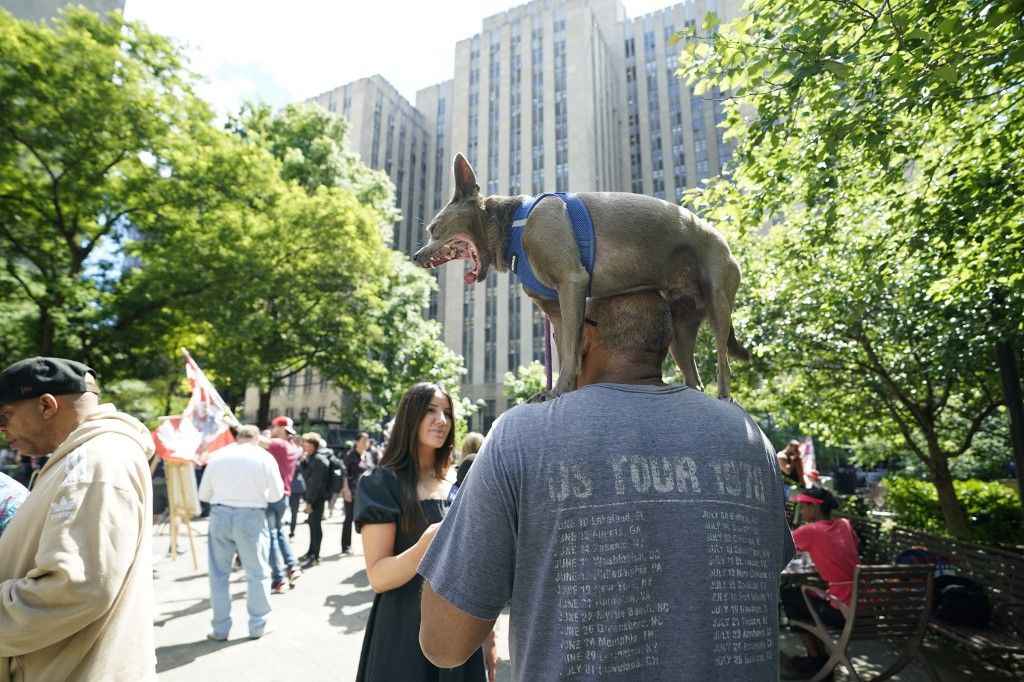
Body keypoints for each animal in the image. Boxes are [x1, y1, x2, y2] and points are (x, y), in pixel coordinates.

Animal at [411, 153, 749, 399]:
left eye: (433, 228)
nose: (415, 256)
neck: (514, 226)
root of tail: (726, 246)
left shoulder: (571, 284)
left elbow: (571, 354)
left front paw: (558, 392)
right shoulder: (556, 311)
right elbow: (567, 351)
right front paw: (562, 390)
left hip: (718, 304)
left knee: (724, 363)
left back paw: (724, 397)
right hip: (680, 328)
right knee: (694, 377)